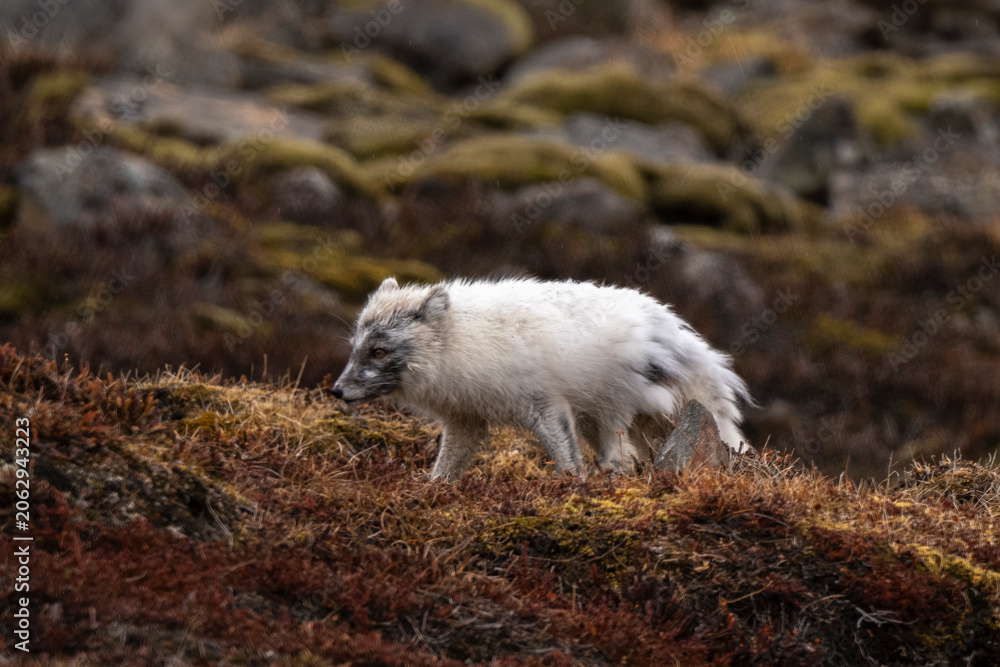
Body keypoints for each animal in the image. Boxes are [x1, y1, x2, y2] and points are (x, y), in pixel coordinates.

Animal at [332, 277, 752, 480]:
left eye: (379, 351)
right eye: (355, 347)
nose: (336, 391)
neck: (464, 340)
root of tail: (670, 326)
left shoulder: (545, 406)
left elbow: (568, 463)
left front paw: (573, 493)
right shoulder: (466, 419)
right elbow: (445, 468)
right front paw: (433, 492)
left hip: (612, 412)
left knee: (619, 459)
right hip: (599, 420)